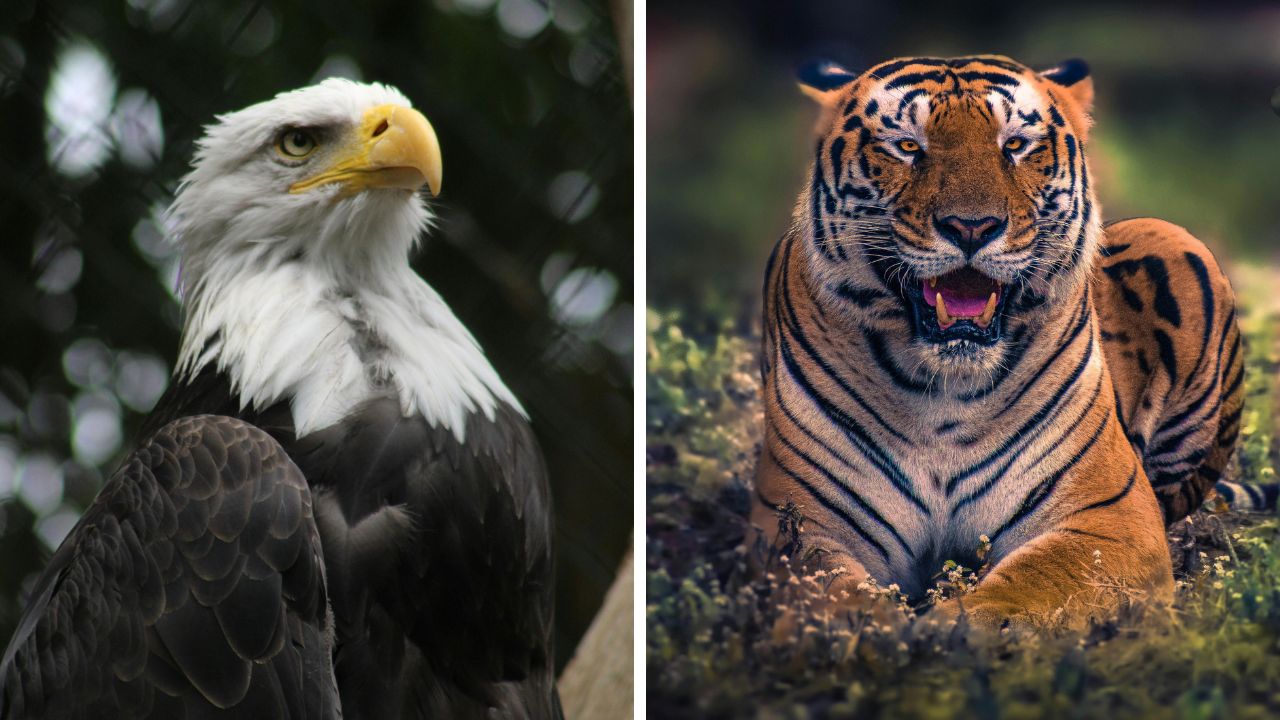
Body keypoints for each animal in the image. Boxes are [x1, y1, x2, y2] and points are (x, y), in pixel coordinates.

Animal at [750, 54, 1246, 627]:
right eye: (907, 146)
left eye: (1015, 145)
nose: (971, 226)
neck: (942, 391)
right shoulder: (799, 522)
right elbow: (831, 597)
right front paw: (879, 632)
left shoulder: (1110, 515)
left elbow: (1034, 585)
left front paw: (951, 629)